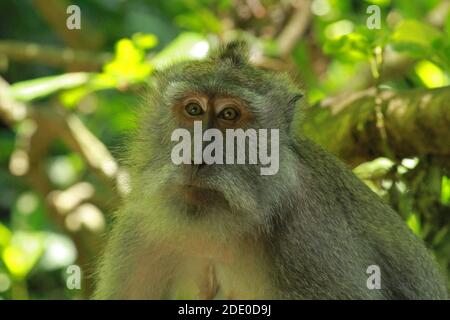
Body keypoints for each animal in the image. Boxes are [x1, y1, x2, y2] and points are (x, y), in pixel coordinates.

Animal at [94, 41, 446, 298]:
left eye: (229, 115)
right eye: (193, 109)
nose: (196, 154)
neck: (219, 229)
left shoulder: (310, 234)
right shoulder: (140, 228)